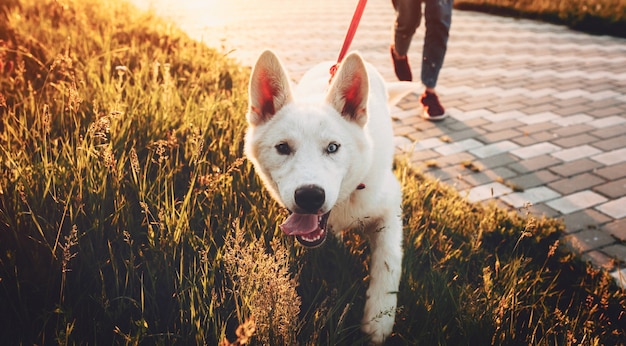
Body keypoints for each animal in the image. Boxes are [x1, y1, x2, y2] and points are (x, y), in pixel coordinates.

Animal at [241, 49, 402, 344]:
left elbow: (388, 261)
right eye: (282, 148)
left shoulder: (390, 204)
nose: (309, 197)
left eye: (333, 147)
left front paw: (379, 318)